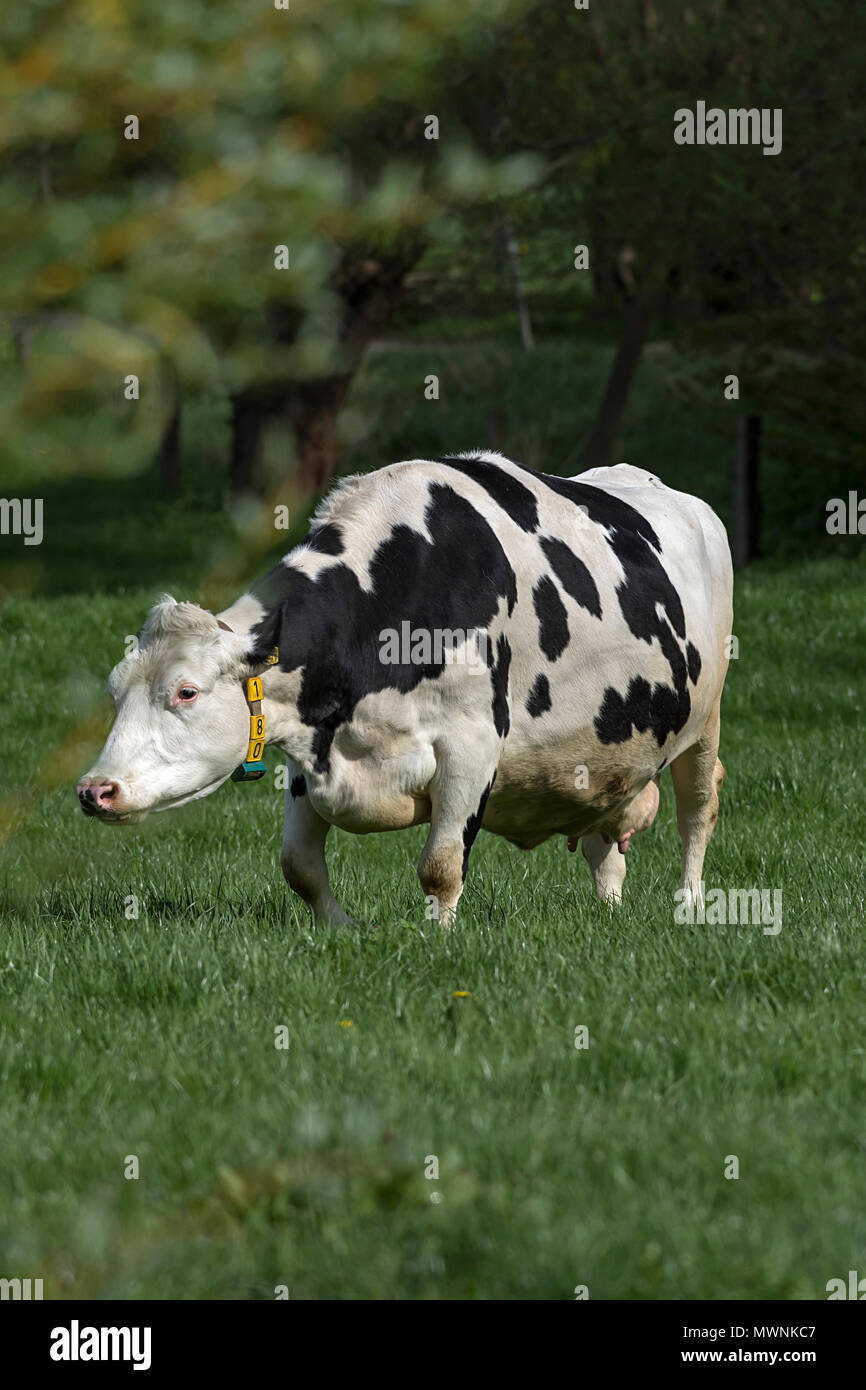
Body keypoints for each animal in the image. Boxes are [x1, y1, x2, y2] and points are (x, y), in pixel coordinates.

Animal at [77, 455, 733, 928]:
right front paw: (342, 932)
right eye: (114, 692)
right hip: (600, 758)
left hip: (707, 720)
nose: (93, 790)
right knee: (606, 844)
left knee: (698, 808)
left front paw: (437, 940)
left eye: (186, 692)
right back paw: (608, 911)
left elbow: (440, 867)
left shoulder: (471, 747)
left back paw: (688, 906)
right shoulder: (308, 750)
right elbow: (299, 867)